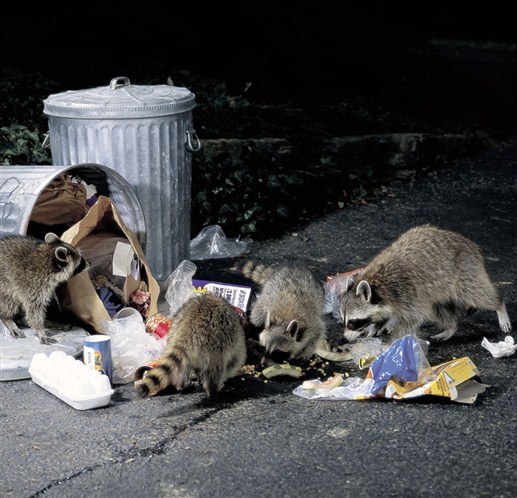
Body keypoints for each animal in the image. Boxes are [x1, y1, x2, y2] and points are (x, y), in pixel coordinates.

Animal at [338, 225, 512, 342]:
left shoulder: (405, 292)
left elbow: (412, 319)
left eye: (352, 322)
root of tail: (470, 244)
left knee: (475, 292)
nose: (344, 339)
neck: (377, 283)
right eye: (343, 320)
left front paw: (393, 342)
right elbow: (384, 315)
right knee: (438, 309)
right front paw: (376, 326)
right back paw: (451, 327)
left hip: (464, 271)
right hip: (436, 290)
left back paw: (499, 305)